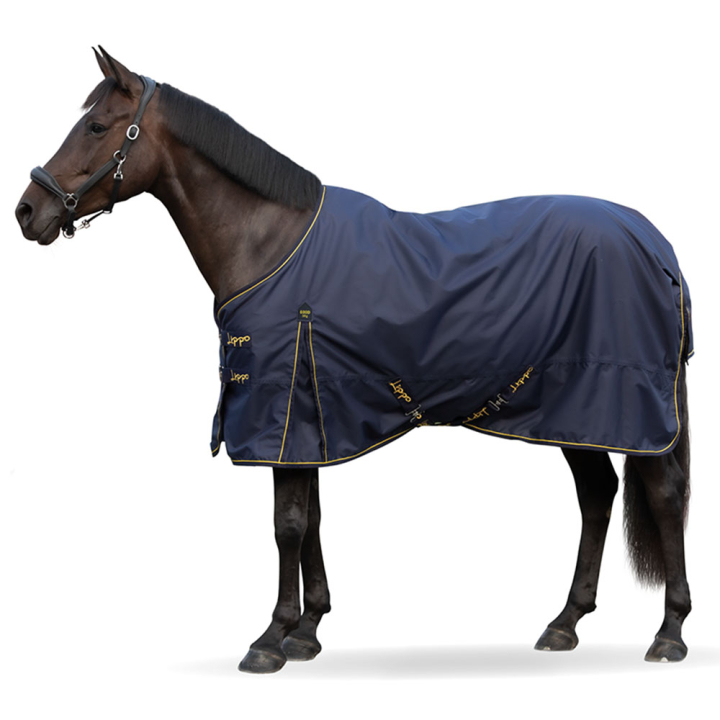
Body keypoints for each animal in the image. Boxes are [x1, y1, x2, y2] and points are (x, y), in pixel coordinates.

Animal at [15, 48, 693, 673]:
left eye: (96, 126)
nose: (27, 211)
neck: (269, 241)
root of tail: (654, 242)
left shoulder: (282, 408)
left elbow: (287, 523)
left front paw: (270, 640)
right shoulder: (310, 418)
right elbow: (312, 519)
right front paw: (308, 631)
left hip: (619, 402)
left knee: (663, 494)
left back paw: (669, 634)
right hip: (575, 410)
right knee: (598, 494)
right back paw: (564, 623)